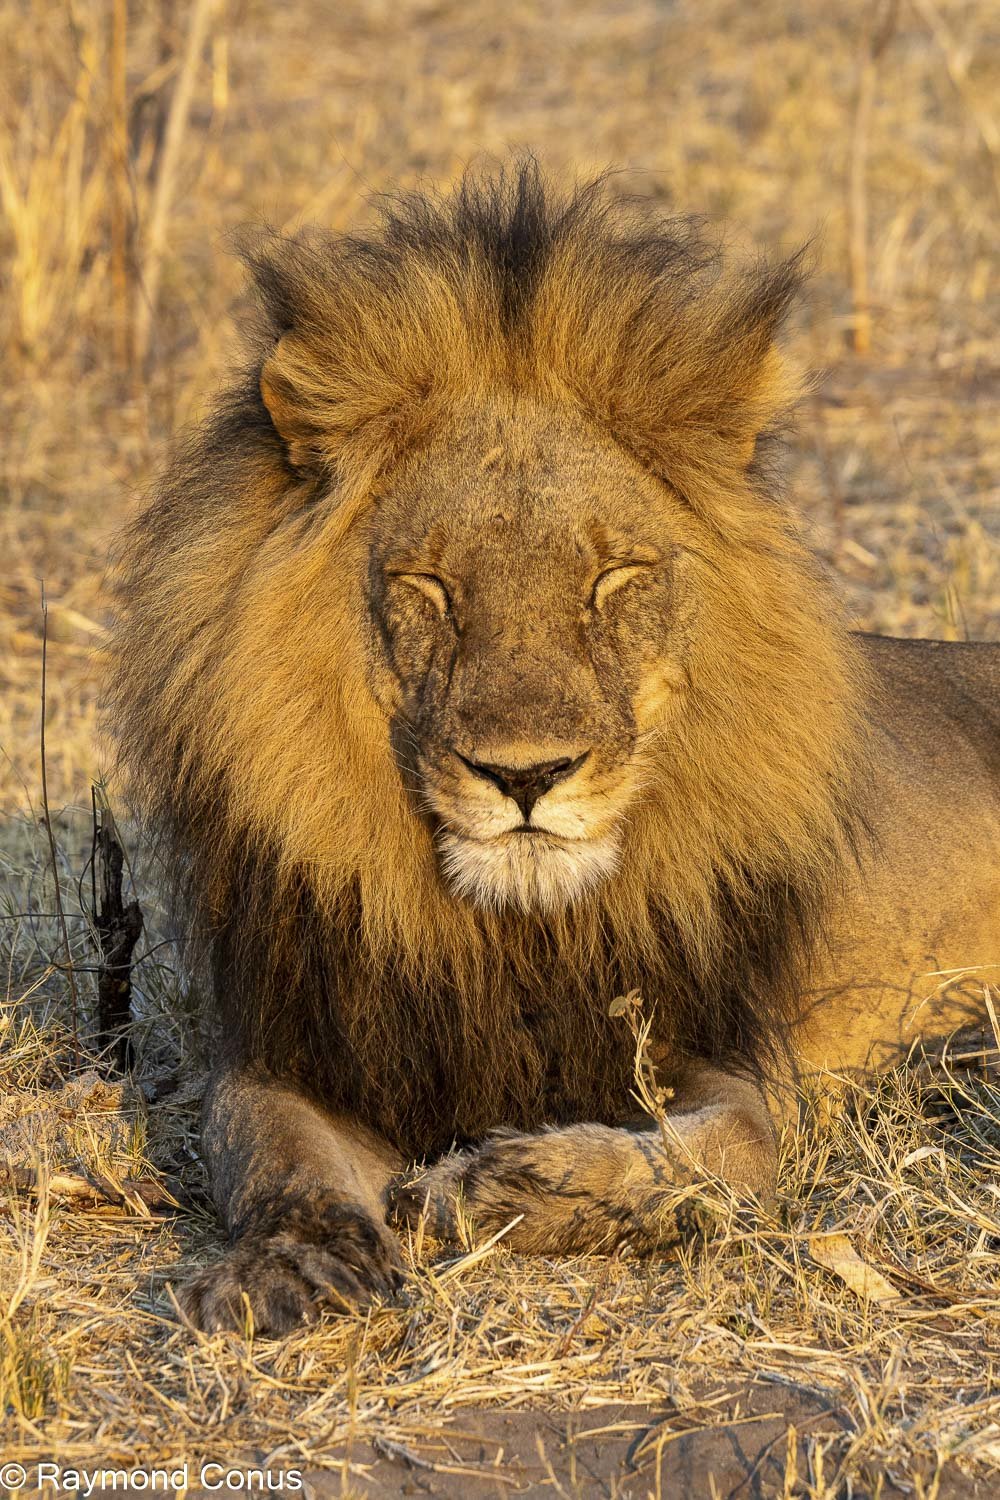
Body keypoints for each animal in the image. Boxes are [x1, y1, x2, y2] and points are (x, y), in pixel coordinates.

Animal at [109, 164, 1000, 1334]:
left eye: (612, 581)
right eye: (429, 586)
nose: (524, 777)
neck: (514, 937)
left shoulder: (729, 1056)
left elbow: (725, 1152)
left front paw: (506, 1185)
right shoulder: (299, 1045)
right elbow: (269, 1149)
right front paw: (291, 1264)